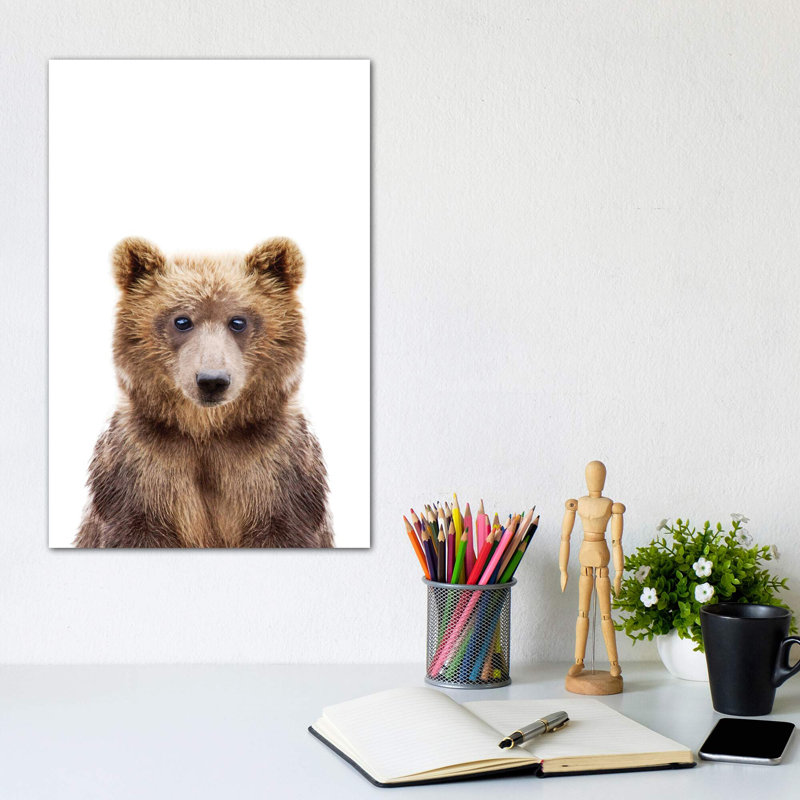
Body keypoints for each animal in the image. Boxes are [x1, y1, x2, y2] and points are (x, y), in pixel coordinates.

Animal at [75, 236, 334, 548]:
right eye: (182, 320)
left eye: (238, 321)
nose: (212, 380)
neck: (207, 431)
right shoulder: (139, 470)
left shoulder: (277, 470)